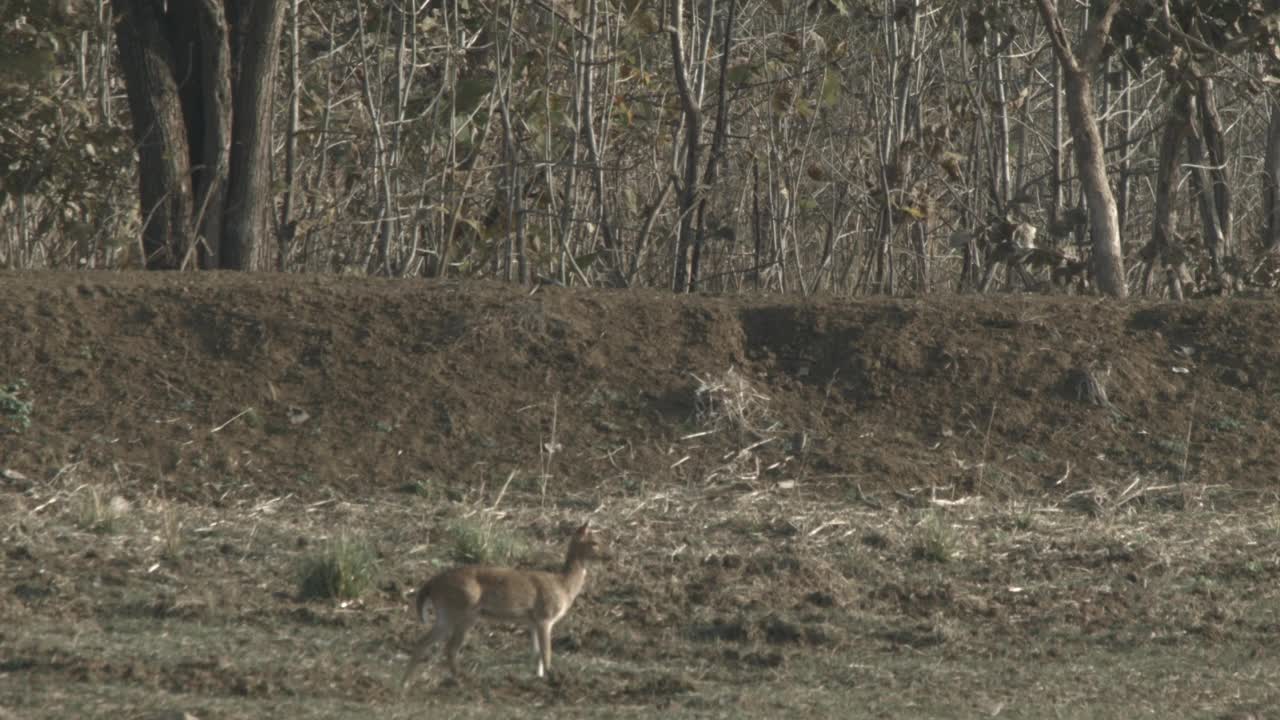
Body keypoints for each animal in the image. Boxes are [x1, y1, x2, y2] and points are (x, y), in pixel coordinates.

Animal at [399, 515, 599, 691]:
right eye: (595, 542)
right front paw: (553, 679)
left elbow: (536, 654)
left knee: (424, 642)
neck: (564, 586)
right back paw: (461, 682)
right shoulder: (545, 616)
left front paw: (539, 679)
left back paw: (406, 683)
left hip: (446, 615)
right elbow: (546, 653)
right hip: (463, 612)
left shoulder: (532, 622)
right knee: (450, 647)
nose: (605, 556)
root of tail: (432, 584)